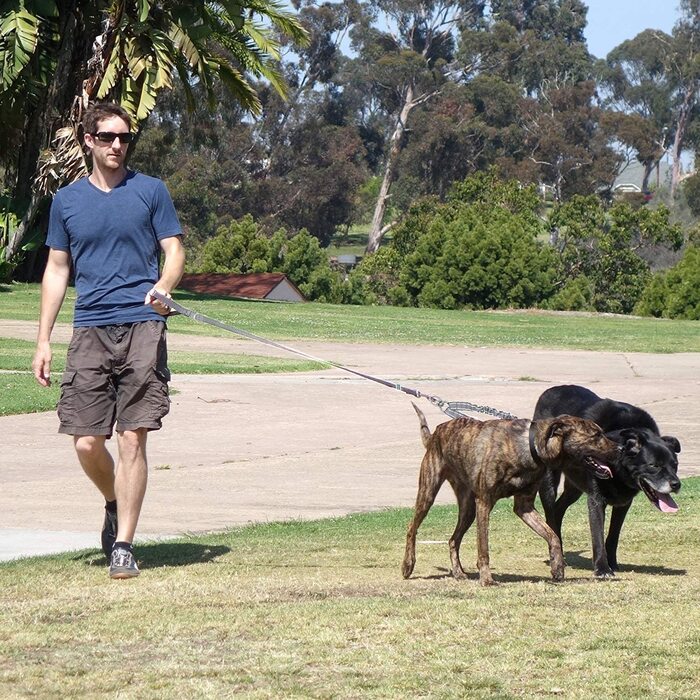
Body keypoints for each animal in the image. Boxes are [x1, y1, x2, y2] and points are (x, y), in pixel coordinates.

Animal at [400, 404, 616, 584]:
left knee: (453, 539)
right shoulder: (484, 502)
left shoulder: (524, 507)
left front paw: (557, 567)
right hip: (429, 492)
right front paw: (486, 579)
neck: (531, 446)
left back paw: (459, 572)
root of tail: (435, 434)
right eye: (596, 435)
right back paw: (408, 565)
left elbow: (552, 535)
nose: (620, 449)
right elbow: (484, 548)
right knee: (412, 527)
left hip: (468, 509)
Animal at [532, 386, 680, 576]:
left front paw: (613, 564)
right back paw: (558, 557)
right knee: (551, 516)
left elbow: (613, 535)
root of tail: (549, 391)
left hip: (575, 488)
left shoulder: (624, 502)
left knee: (559, 509)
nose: (676, 485)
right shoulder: (596, 500)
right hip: (549, 483)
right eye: (654, 465)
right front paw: (602, 568)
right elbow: (598, 537)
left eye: (675, 465)